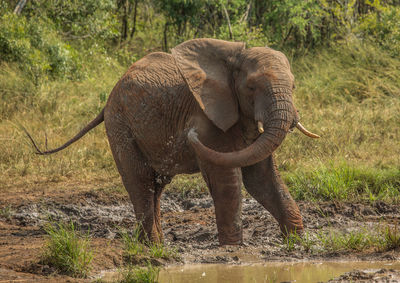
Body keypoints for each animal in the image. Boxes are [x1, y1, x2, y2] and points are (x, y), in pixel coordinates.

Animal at [26, 38, 318, 246]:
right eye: (252, 88)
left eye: (293, 86)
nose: (188, 134)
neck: (231, 60)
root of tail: (109, 97)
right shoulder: (208, 119)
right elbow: (228, 181)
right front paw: (233, 249)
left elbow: (262, 178)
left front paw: (297, 243)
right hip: (119, 125)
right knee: (140, 181)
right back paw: (153, 247)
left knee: (156, 185)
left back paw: (155, 244)